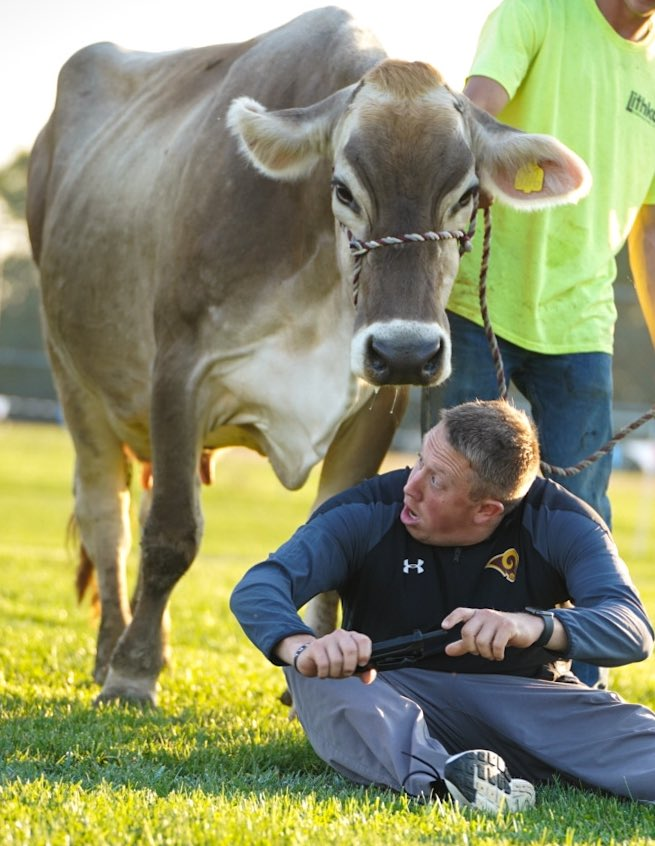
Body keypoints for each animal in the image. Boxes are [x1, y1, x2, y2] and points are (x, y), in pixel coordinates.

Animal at [25, 8, 592, 708]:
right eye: (343, 190)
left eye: (465, 194)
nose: (407, 347)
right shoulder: (179, 372)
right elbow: (171, 533)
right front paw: (133, 675)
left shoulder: (379, 396)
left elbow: (336, 533)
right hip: (72, 375)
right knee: (108, 515)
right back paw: (112, 652)